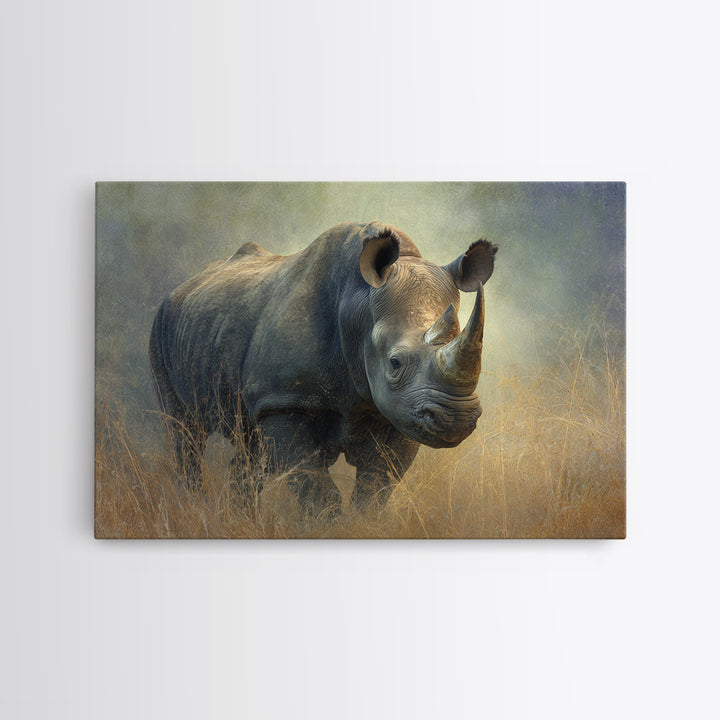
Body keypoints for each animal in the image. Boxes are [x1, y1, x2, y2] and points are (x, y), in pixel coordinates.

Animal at [149, 221, 497, 515]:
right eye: (394, 363)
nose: (456, 421)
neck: (358, 305)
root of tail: (183, 285)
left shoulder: (402, 411)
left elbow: (375, 488)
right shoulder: (284, 401)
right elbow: (317, 491)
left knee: (250, 447)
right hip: (160, 324)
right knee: (184, 432)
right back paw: (193, 507)